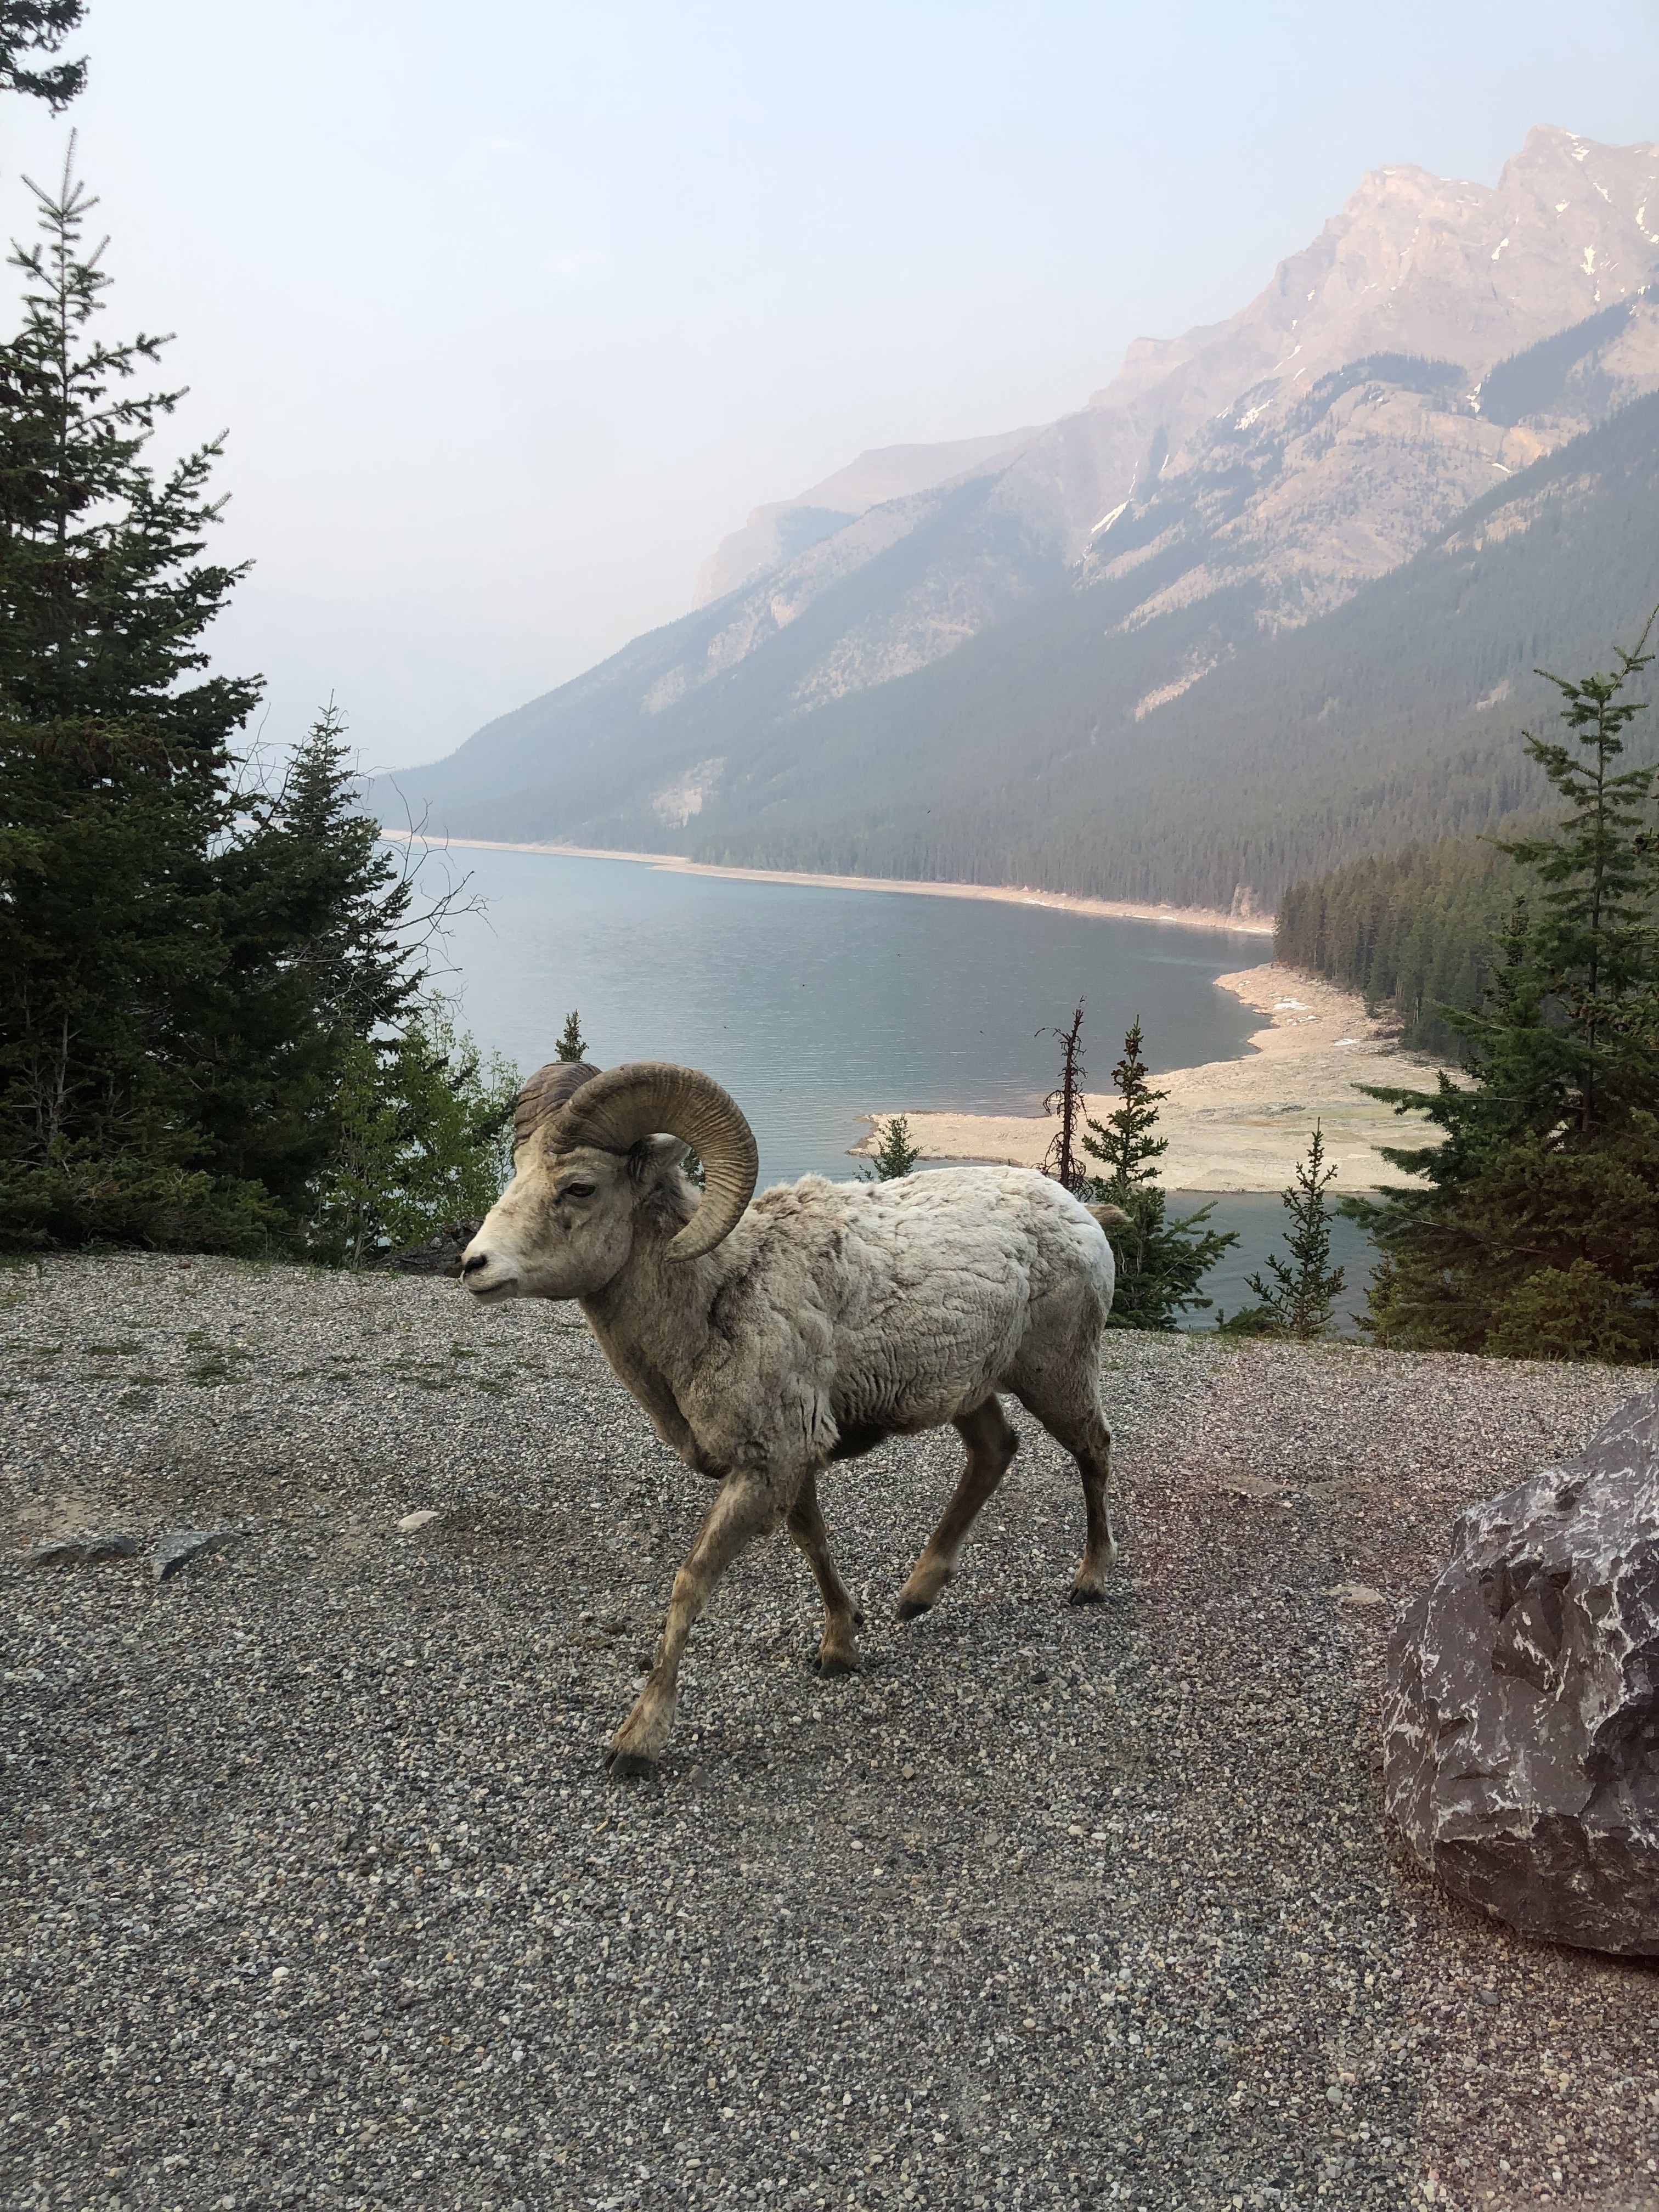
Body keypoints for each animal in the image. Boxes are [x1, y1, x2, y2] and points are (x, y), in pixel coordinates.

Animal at [461, 1057, 1127, 1774]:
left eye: (579, 1187)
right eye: (517, 1169)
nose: (473, 1265)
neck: (718, 1296)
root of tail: (1081, 1214)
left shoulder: (765, 1464)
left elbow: (692, 1580)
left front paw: (637, 1741)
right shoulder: (790, 1463)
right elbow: (813, 1541)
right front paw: (840, 1648)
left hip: (1056, 1376)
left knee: (1094, 1448)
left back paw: (1090, 1581)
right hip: (970, 1391)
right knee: (994, 1452)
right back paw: (916, 1597)